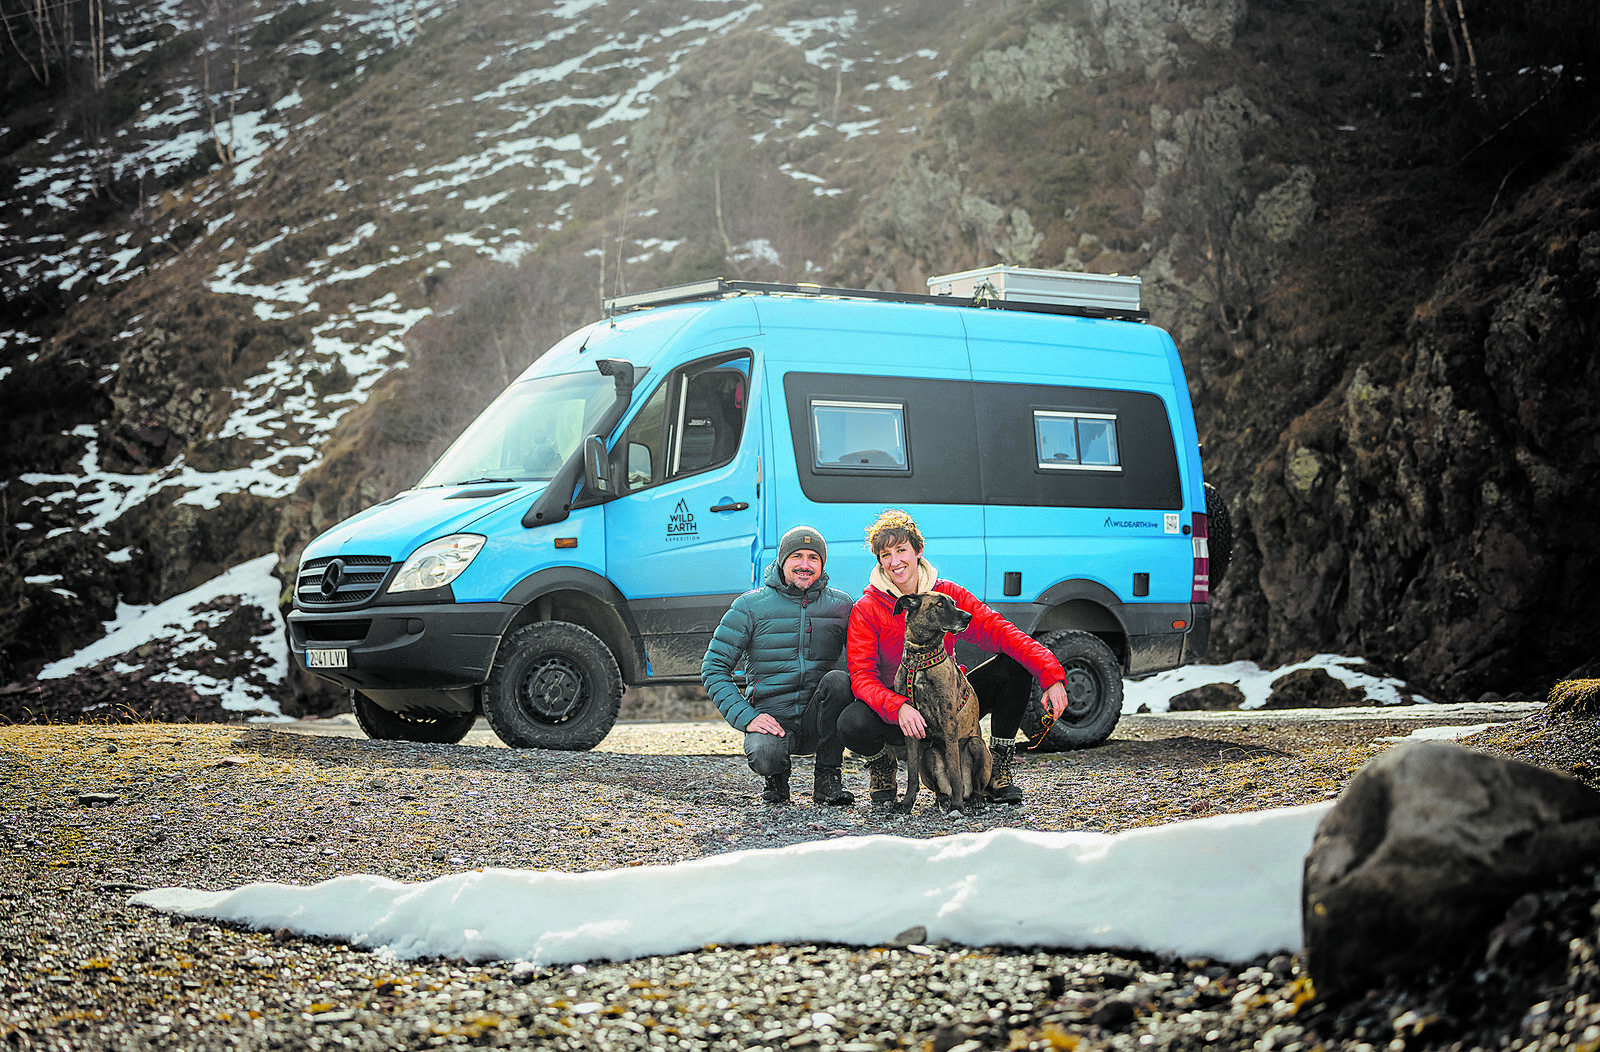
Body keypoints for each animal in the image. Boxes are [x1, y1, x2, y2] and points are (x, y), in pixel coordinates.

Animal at [896, 588, 992, 812]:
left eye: (953, 603)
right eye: (939, 604)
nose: (968, 617)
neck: (920, 657)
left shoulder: (949, 721)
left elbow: (955, 771)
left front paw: (957, 806)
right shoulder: (910, 728)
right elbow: (911, 773)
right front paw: (906, 803)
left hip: (977, 745)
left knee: (976, 786)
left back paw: (971, 800)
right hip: (929, 754)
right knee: (938, 785)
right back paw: (942, 798)